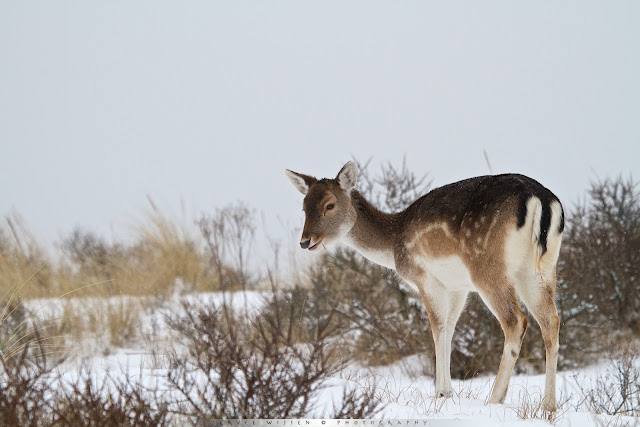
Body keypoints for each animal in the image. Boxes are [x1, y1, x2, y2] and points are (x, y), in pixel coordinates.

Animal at [288, 160, 564, 412]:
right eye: (303, 207)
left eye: (330, 205)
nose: (305, 241)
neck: (392, 244)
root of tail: (541, 200)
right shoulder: (458, 287)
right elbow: (450, 328)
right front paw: (447, 391)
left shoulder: (425, 278)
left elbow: (437, 327)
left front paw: (441, 392)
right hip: (540, 270)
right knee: (551, 320)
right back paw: (549, 405)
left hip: (488, 269)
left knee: (516, 321)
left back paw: (495, 399)